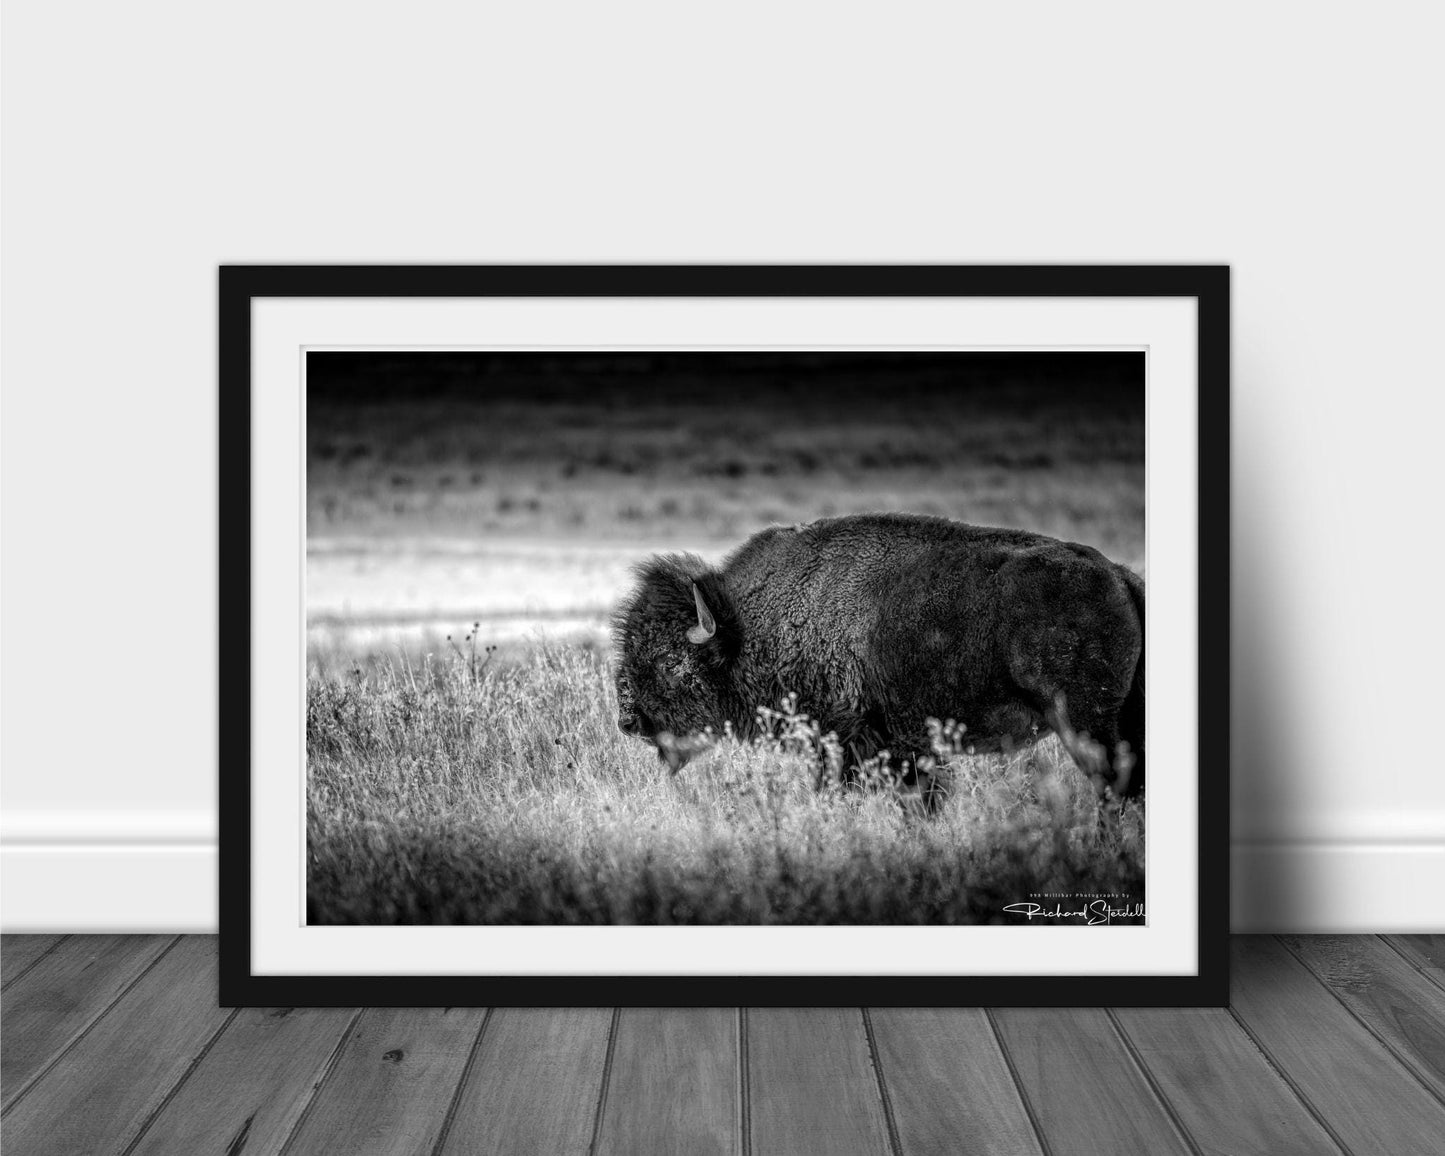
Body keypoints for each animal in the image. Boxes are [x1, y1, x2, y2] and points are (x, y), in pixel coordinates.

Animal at [612, 512, 1143, 804]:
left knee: (1113, 786)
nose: (628, 720)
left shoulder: (843, 744)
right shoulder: (907, 750)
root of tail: (1120, 576)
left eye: (669, 661)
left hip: (1084, 723)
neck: (746, 627)